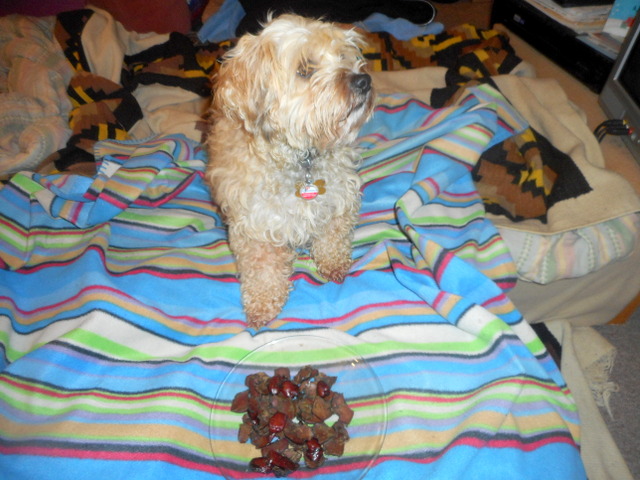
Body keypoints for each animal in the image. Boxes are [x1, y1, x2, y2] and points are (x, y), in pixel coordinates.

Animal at [205, 13, 376, 328]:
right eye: (305, 69)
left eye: (343, 57)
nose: (363, 80)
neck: (301, 158)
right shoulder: (256, 226)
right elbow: (263, 270)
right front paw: (262, 305)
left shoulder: (339, 199)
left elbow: (333, 236)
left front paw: (334, 264)